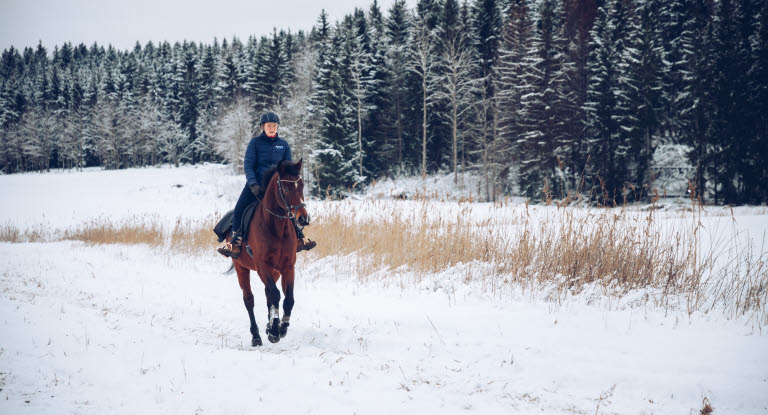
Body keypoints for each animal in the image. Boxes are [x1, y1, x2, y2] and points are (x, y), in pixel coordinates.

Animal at [226, 159, 310, 348]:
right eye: (285, 187)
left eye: (301, 185)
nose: (303, 218)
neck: (276, 226)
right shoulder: (263, 266)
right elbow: (275, 295)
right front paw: (274, 332)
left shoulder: (287, 266)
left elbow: (288, 298)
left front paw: (281, 327)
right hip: (242, 268)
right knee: (249, 299)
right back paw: (256, 335)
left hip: (274, 271)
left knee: (267, 296)